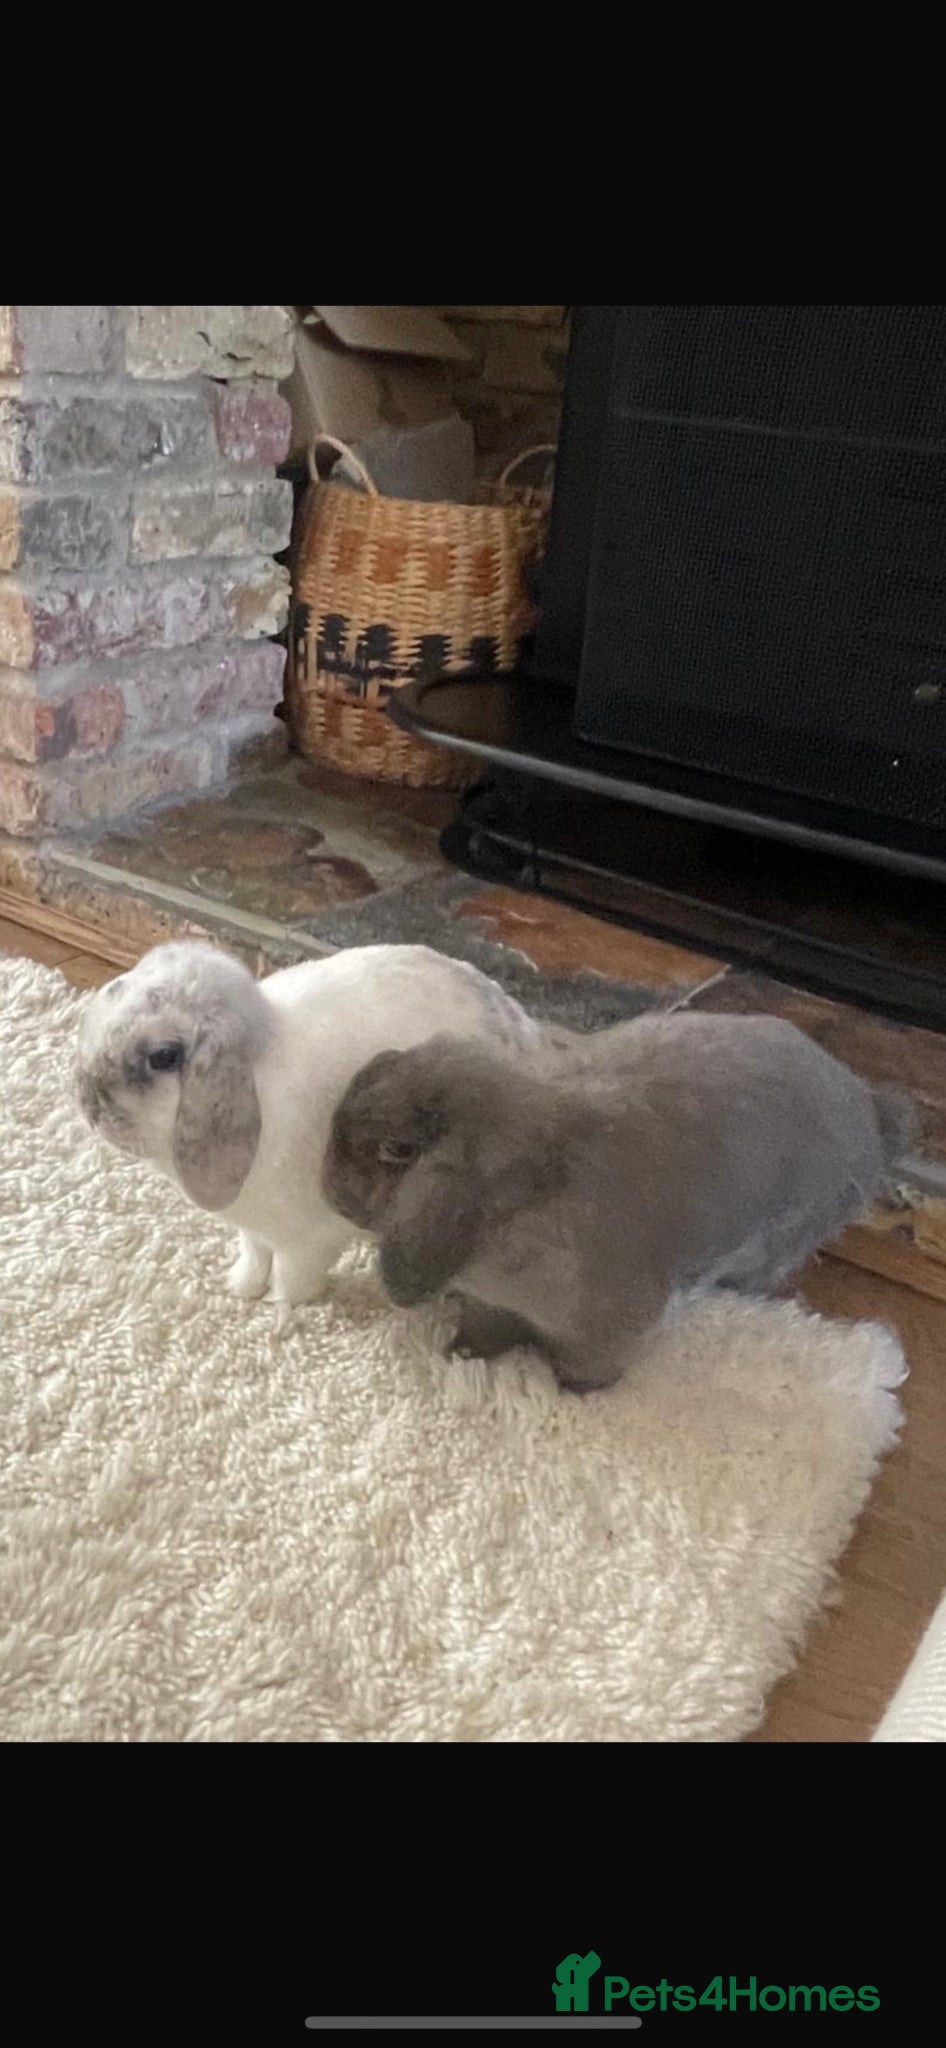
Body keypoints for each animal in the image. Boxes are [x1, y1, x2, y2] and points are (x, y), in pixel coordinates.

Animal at [75, 939, 545, 1321]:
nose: (89, 1106)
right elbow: (253, 1255)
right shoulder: (255, 1229)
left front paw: (279, 1309)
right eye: (113, 990)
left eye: (164, 1057)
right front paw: (240, 1288)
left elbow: (291, 1274)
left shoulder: (306, 1239)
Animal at [322, 1012, 917, 1391]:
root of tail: (871, 1112)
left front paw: (574, 1391)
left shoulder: (603, 1328)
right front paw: (461, 1354)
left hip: (782, 1239)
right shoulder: (490, 1305)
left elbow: (586, 1364)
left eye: (398, 1150)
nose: (328, 1190)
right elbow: (483, 1332)